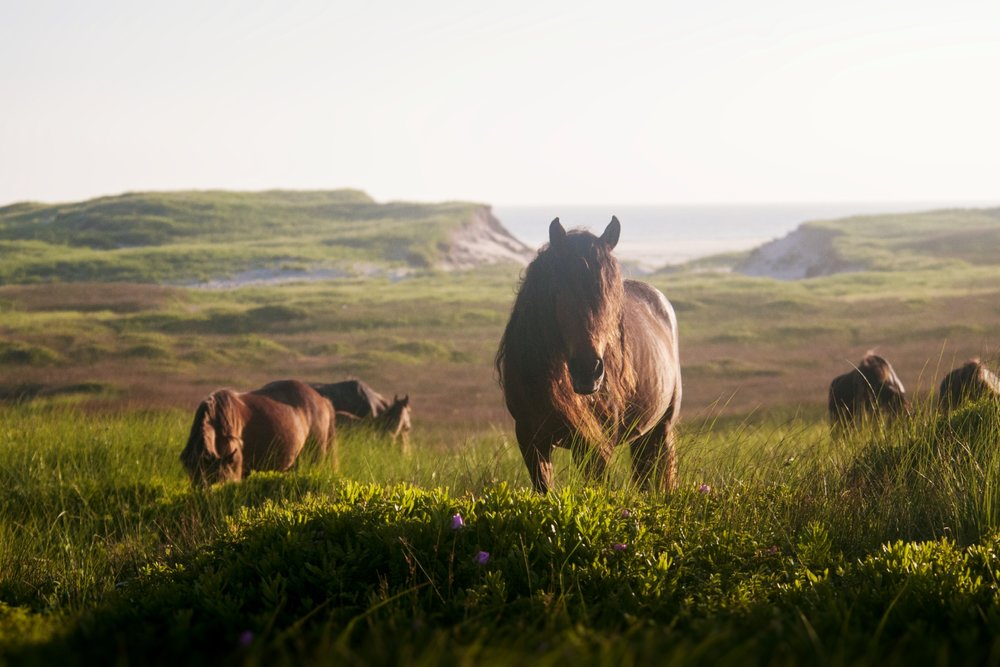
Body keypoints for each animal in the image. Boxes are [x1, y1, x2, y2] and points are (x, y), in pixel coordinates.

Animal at [496, 219, 684, 496]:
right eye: (559, 293)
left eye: (611, 296)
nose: (588, 370)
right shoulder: (530, 439)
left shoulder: (595, 446)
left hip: (660, 429)